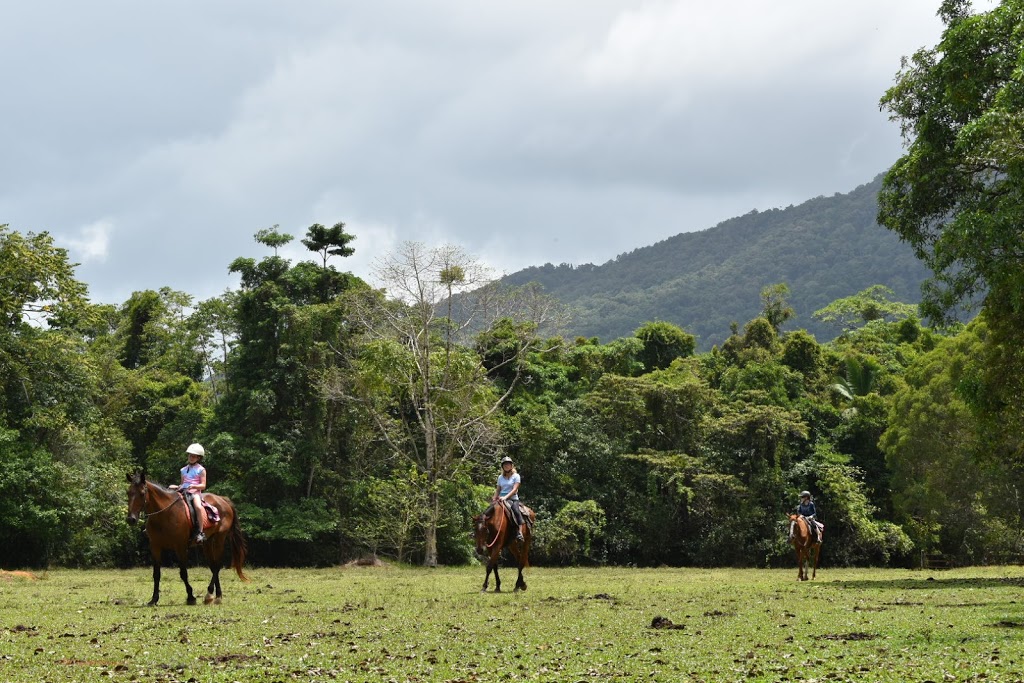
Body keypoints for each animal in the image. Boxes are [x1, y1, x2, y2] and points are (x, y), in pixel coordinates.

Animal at [126, 471, 249, 610]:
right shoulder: (155, 547)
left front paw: (191, 597)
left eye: (142, 493)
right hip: (207, 544)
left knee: (217, 565)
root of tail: (223, 500)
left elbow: (183, 573)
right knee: (213, 566)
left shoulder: (180, 547)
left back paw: (210, 595)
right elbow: (156, 574)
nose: (131, 519)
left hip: (219, 539)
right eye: (128, 492)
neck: (165, 514)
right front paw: (153, 599)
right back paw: (217, 596)